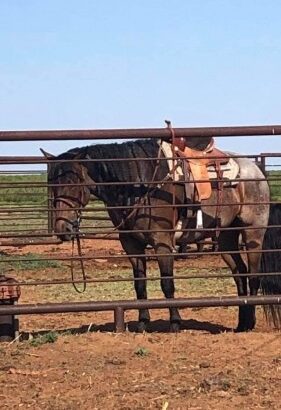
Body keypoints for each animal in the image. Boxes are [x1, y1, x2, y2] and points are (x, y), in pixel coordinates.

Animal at [41, 139, 280, 332]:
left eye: (73, 183)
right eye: (52, 184)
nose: (63, 229)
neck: (140, 184)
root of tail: (256, 172)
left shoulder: (162, 242)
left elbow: (167, 284)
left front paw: (175, 323)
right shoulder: (131, 245)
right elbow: (140, 285)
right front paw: (142, 323)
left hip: (252, 234)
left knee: (254, 276)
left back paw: (250, 323)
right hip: (225, 238)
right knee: (240, 274)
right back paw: (242, 324)